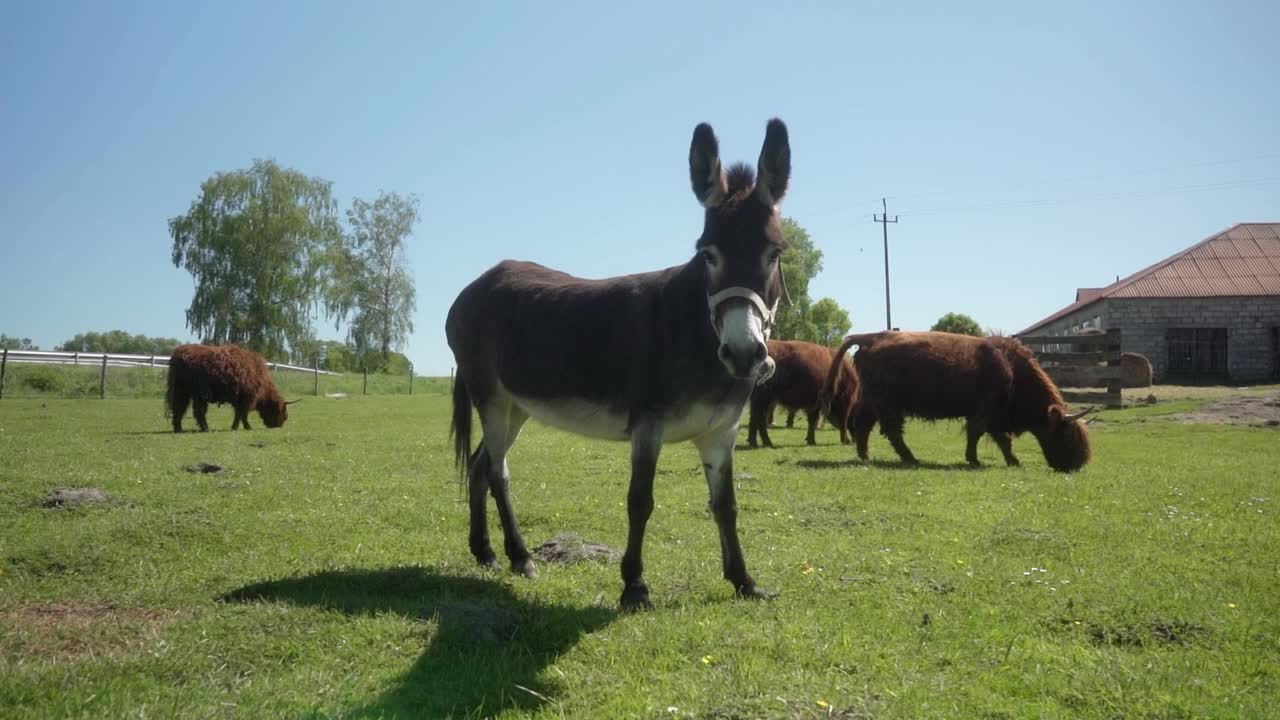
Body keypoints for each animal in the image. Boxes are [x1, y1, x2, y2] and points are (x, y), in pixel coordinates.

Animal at [163, 343, 293, 430]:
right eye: (281, 412)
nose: (279, 425)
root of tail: (180, 353)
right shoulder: (245, 399)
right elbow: (242, 415)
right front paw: (244, 427)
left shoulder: (239, 400)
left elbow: (239, 414)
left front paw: (236, 427)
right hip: (199, 394)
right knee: (197, 411)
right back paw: (206, 428)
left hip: (182, 392)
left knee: (179, 408)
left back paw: (179, 428)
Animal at [445, 120, 793, 607]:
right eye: (708, 253)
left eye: (774, 254)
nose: (743, 354)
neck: (696, 334)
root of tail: (479, 280)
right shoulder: (648, 426)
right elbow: (640, 501)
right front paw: (634, 586)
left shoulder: (721, 433)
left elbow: (726, 506)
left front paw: (744, 581)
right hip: (490, 397)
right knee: (498, 471)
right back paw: (521, 557)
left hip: (516, 406)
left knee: (480, 465)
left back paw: (487, 553)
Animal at [819, 330, 1090, 471]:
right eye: (1067, 434)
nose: (1077, 464)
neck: (1012, 369)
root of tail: (872, 337)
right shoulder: (986, 413)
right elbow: (986, 436)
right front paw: (980, 459)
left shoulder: (991, 416)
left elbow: (996, 438)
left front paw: (1007, 460)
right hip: (887, 404)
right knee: (891, 431)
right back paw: (910, 458)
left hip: (876, 402)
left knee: (865, 424)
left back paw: (866, 455)